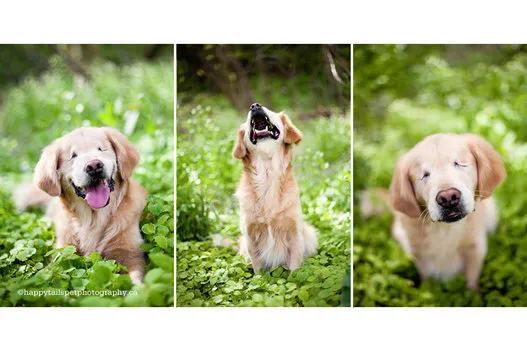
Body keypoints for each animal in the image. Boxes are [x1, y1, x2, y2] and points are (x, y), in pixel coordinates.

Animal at [14, 128, 146, 284]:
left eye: (101, 149)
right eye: (73, 156)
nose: (94, 166)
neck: (94, 217)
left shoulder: (131, 253)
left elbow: (135, 276)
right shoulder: (63, 252)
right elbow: (51, 272)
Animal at [231, 103, 318, 274]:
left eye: (270, 110)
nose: (254, 105)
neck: (268, 172)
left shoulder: (294, 232)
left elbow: (294, 268)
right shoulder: (250, 235)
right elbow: (258, 267)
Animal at [364, 133, 508, 290]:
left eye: (459, 164)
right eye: (425, 175)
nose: (448, 198)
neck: (444, 231)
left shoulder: (475, 250)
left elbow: (471, 282)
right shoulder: (420, 257)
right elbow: (428, 281)